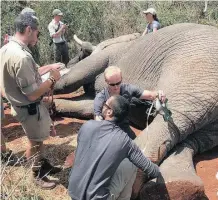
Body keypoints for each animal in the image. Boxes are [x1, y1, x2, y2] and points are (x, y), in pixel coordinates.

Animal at [53, 23, 217, 200]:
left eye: (80, 54)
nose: (66, 64)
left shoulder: (108, 53)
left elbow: (68, 81)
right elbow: (89, 104)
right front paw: (52, 105)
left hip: (194, 66)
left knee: (172, 119)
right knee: (190, 136)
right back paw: (178, 187)